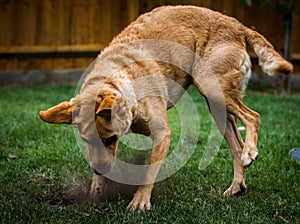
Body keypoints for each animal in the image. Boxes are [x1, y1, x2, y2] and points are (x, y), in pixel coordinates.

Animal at [38, 5, 292, 212]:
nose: (100, 171)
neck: (117, 80)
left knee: (253, 117)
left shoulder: (161, 134)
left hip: (211, 86)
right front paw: (96, 189)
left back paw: (250, 151)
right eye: (86, 141)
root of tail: (238, 25)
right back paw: (237, 185)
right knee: (236, 145)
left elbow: (149, 171)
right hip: (217, 106)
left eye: (110, 139)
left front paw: (140, 201)